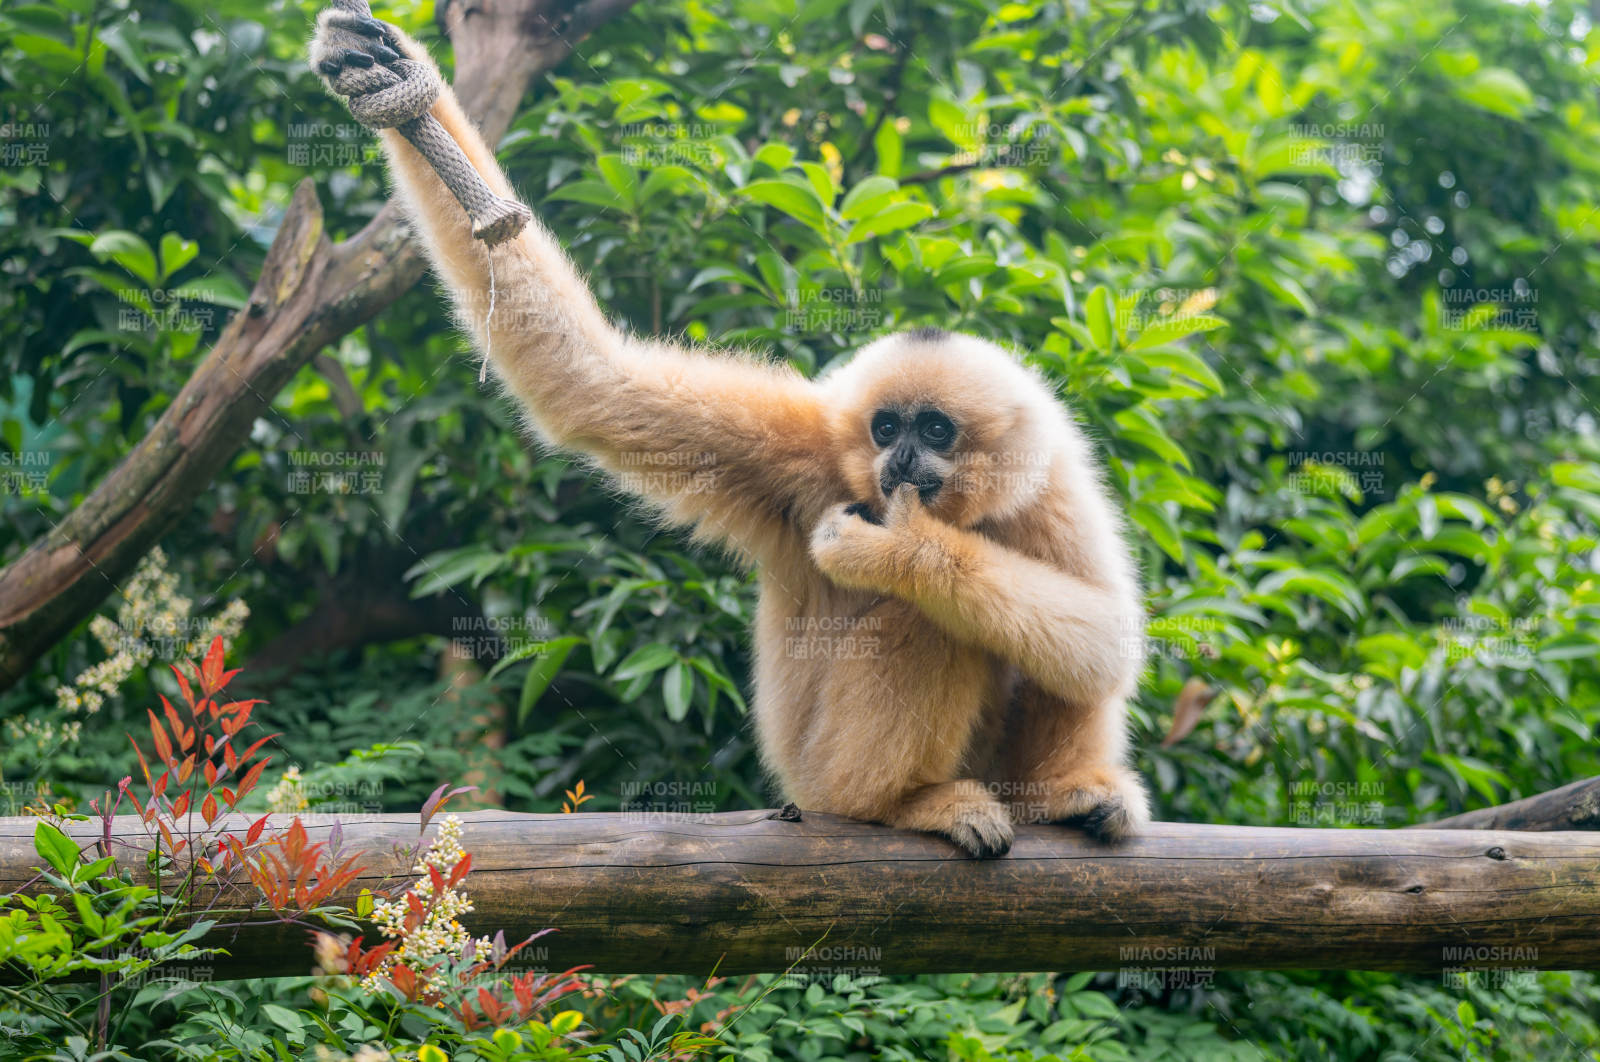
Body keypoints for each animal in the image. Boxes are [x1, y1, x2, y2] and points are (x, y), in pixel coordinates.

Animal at [310, 13, 1150, 857]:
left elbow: (1107, 636)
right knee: (928, 625)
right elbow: (590, 383)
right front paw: (398, 76)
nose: (902, 457)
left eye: (937, 430)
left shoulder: (1051, 485)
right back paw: (906, 803)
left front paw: (898, 548)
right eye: (885, 428)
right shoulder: (801, 451)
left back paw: (1062, 795)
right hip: (821, 775)